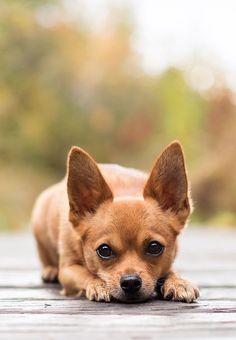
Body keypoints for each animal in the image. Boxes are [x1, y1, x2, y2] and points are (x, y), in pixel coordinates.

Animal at [31, 141, 199, 302]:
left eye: (154, 247)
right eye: (104, 250)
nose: (131, 282)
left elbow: (170, 270)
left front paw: (178, 282)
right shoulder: (67, 270)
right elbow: (86, 274)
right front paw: (98, 285)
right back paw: (51, 270)